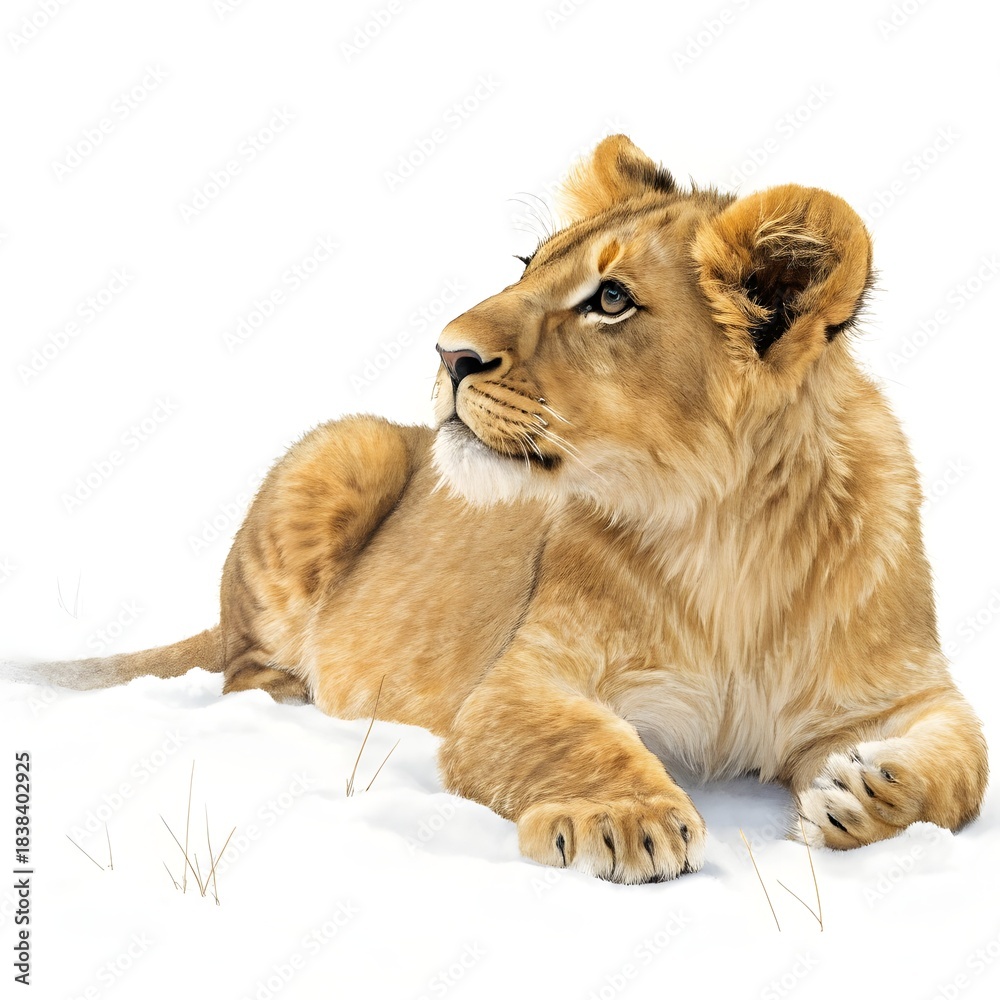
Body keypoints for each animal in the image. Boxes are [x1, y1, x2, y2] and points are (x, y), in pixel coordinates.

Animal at [19, 135, 988, 884]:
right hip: (342, 449)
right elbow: (577, 738)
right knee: (243, 665)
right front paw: (623, 817)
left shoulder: (900, 691)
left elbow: (965, 761)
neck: (725, 530)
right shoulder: (519, 681)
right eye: (529, 266)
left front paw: (871, 794)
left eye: (609, 300)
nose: (447, 352)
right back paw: (304, 700)